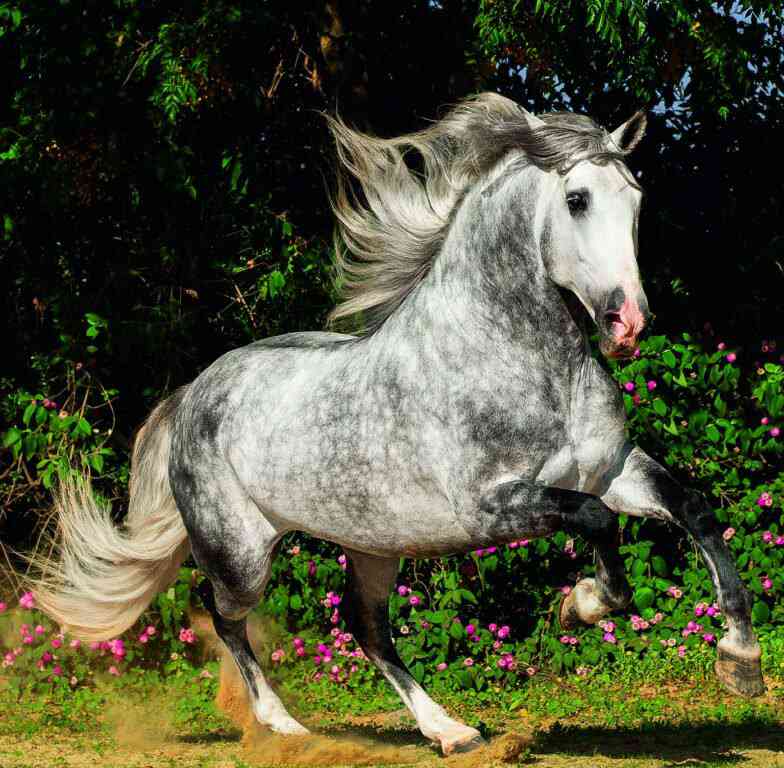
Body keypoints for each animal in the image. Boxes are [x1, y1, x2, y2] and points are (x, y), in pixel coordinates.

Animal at [29, 93, 764, 755]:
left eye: (635, 196)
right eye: (578, 198)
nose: (627, 322)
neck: (522, 358)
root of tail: (193, 395)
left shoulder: (611, 470)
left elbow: (693, 510)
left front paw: (740, 661)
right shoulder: (489, 507)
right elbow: (596, 522)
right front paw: (581, 603)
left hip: (375, 547)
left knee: (366, 627)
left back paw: (451, 731)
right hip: (242, 553)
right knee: (226, 618)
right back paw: (283, 726)